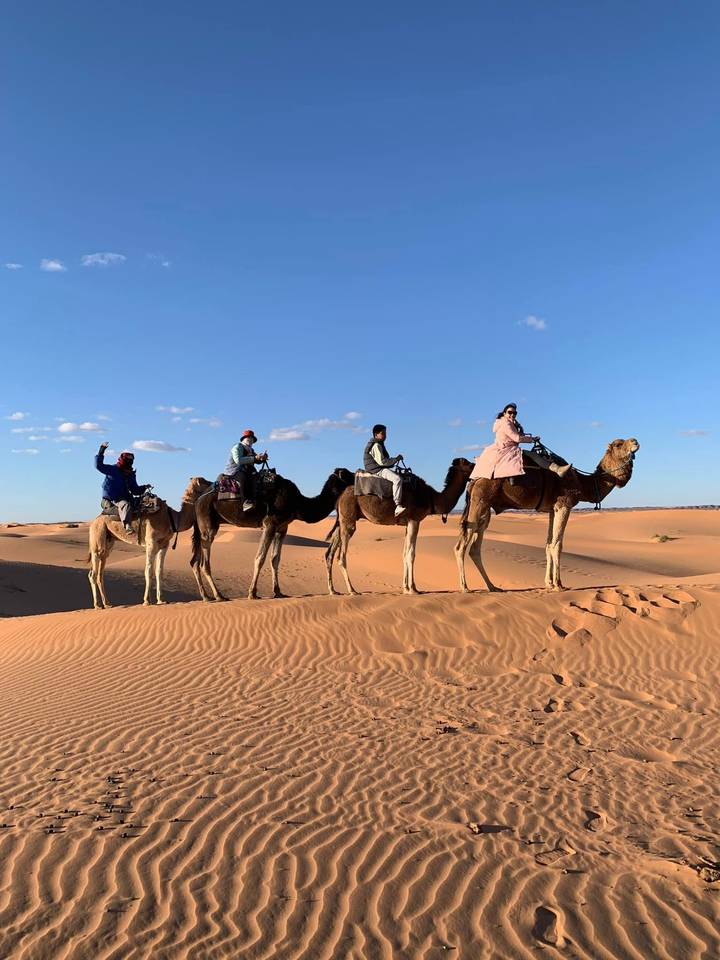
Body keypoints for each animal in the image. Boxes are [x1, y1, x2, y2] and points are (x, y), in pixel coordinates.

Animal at [88, 476, 213, 609]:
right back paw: (97, 605)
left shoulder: (164, 544)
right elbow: (148, 571)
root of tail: (93, 522)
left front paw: (161, 600)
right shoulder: (151, 543)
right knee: (93, 573)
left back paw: (107, 604)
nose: (214, 483)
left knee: (100, 572)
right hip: (97, 538)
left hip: (108, 543)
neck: (172, 518)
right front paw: (146, 601)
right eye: (204, 481)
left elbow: (159, 571)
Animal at [190, 467, 355, 601]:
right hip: (208, 524)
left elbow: (275, 559)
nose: (357, 475)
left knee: (194, 562)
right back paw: (219, 596)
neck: (297, 502)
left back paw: (206, 597)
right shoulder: (269, 524)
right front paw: (252, 593)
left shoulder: (282, 527)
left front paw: (278, 592)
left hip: (204, 527)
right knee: (204, 562)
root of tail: (198, 500)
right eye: (349, 474)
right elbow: (260, 558)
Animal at [325, 457, 475, 596]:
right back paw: (352, 590)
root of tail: (340, 497)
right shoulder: (414, 520)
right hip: (348, 519)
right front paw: (412, 590)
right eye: (466, 463)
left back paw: (333, 591)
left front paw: (407, 588)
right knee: (341, 556)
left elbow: (404, 553)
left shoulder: (407, 523)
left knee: (330, 553)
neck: (432, 498)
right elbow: (411, 554)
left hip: (342, 521)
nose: (475, 463)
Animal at [455, 438, 640, 592]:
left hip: (484, 508)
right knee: (461, 545)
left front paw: (548, 583)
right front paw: (558, 585)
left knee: (475, 547)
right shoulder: (564, 504)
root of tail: (474, 478)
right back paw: (465, 587)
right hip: (480, 500)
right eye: (618, 444)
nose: (635, 441)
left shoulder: (551, 509)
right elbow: (557, 545)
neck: (581, 483)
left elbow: (548, 544)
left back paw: (492, 586)